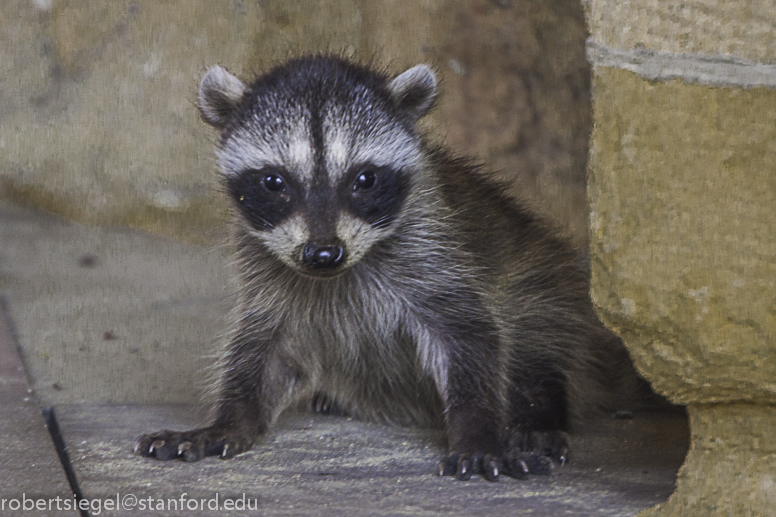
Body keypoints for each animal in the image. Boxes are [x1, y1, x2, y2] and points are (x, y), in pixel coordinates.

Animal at [136, 56, 644, 480]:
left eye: (365, 179)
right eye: (274, 182)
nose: (323, 254)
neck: (341, 270)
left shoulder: (433, 251)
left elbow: (467, 335)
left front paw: (478, 427)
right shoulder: (268, 275)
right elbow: (265, 350)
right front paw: (228, 418)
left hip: (542, 274)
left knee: (540, 328)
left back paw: (541, 405)